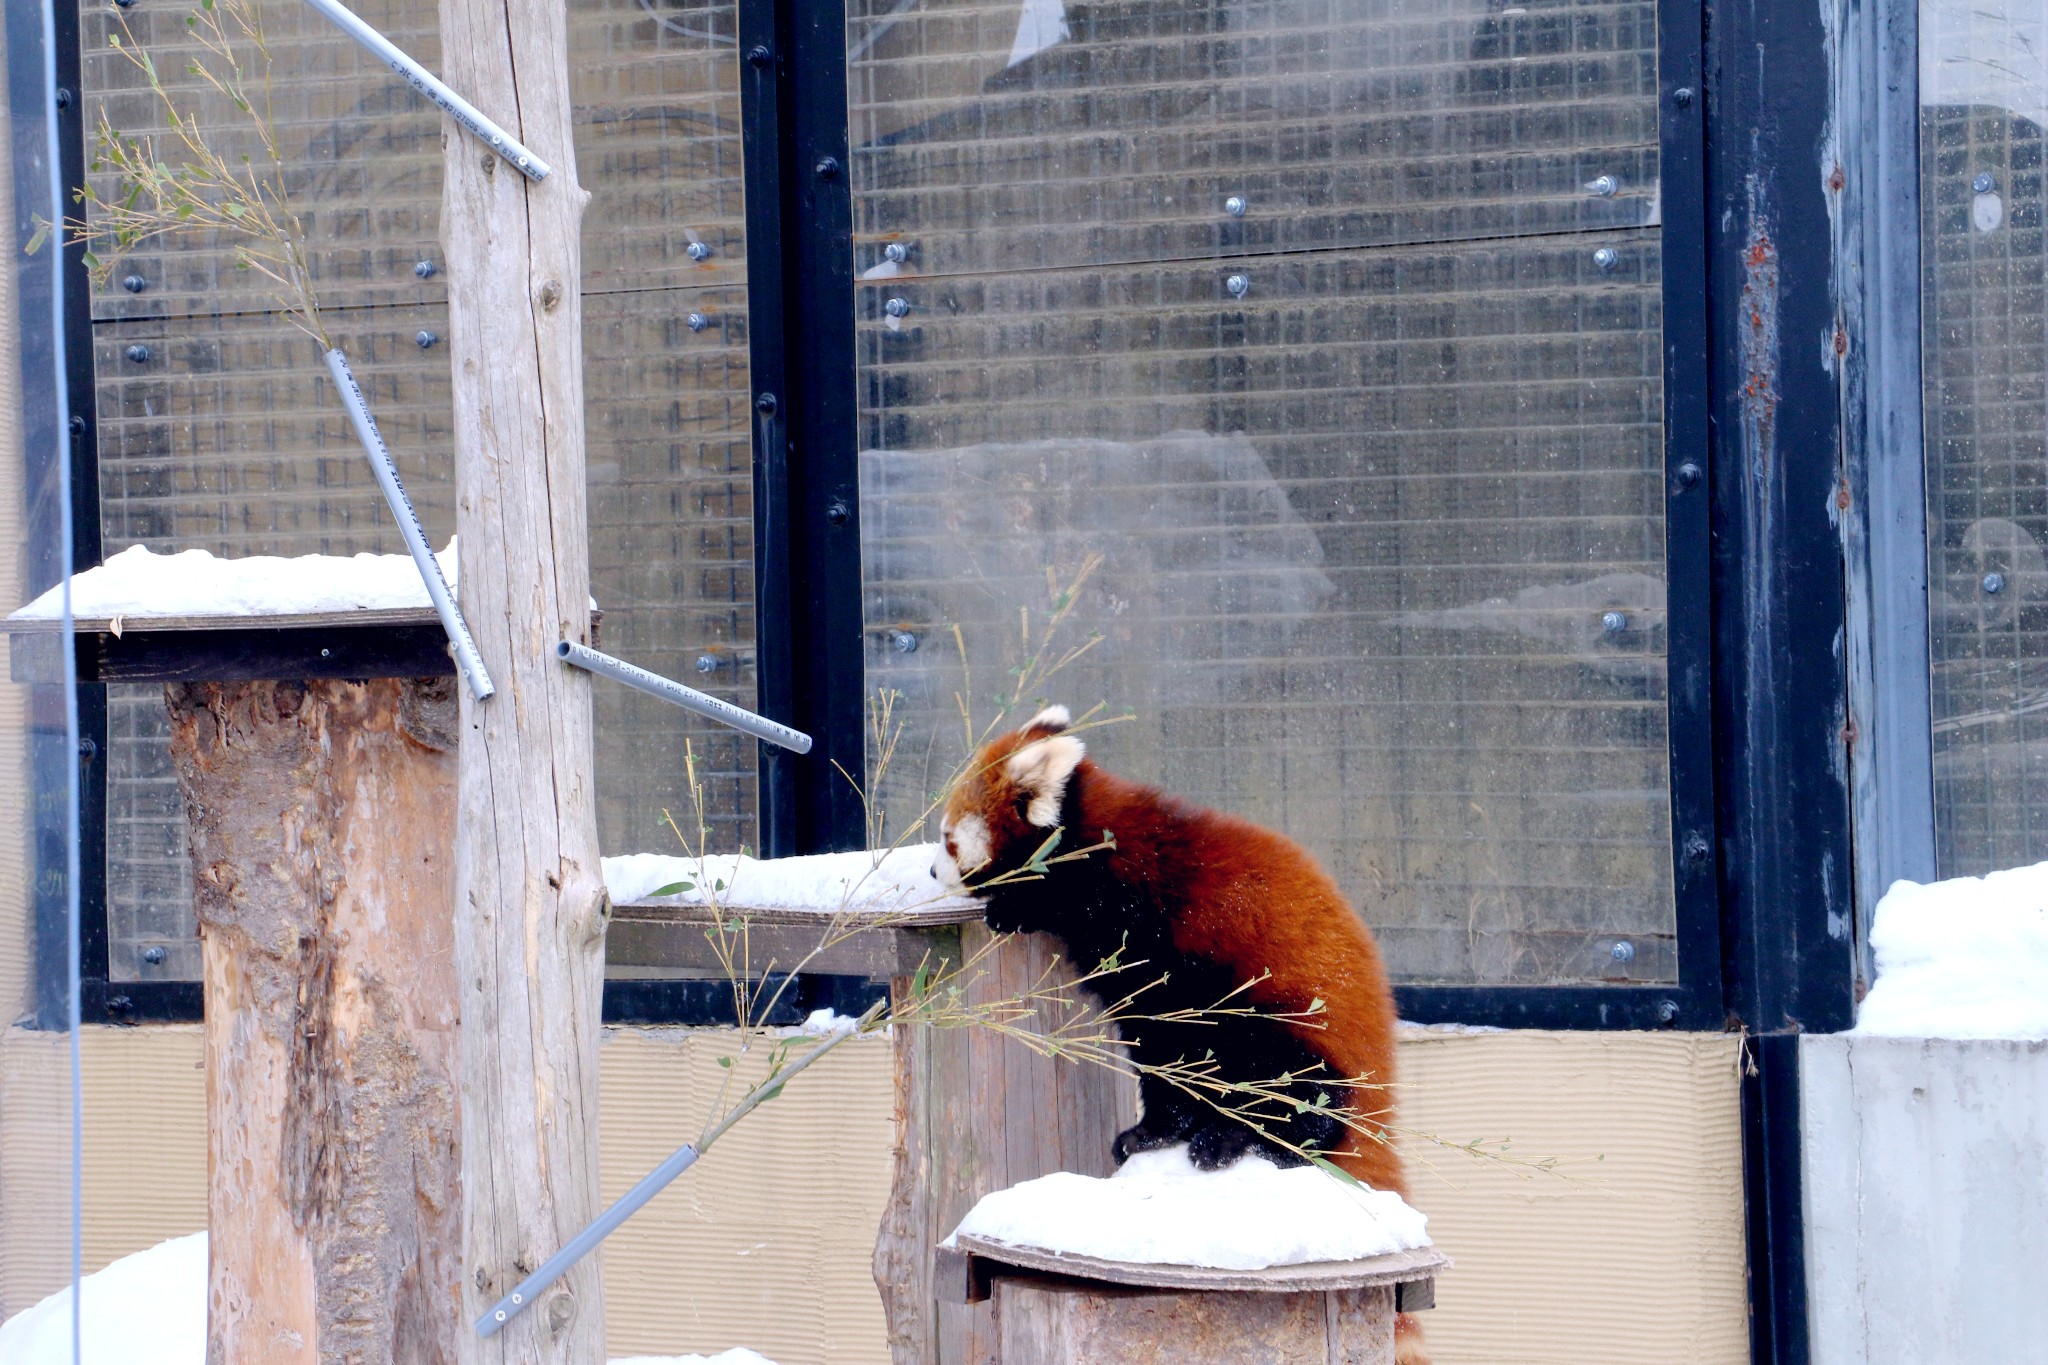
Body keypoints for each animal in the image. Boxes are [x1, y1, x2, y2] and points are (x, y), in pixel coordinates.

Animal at [933, 712, 1425, 1358]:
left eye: (948, 840)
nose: (932, 870)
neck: (1095, 835)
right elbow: (1160, 1058)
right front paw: (1150, 1133)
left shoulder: (1138, 912)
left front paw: (1010, 906)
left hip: (1286, 1023)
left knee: (1301, 1095)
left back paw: (1239, 1140)